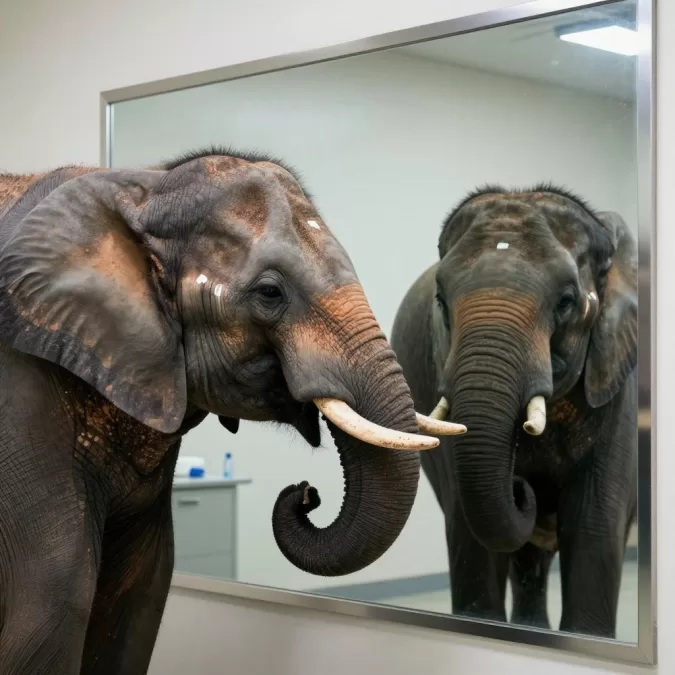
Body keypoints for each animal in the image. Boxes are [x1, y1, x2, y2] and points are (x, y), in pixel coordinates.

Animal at [0, 148, 465, 675]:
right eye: (269, 293)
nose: (305, 493)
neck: (145, 187)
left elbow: (140, 596)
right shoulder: (20, 388)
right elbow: (53, 605)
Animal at [390, 184, 638, 638]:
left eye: (566, 301)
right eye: (441, 302)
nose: (523, 487)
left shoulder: (616, 382)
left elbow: (592, 527)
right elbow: (472, 536)